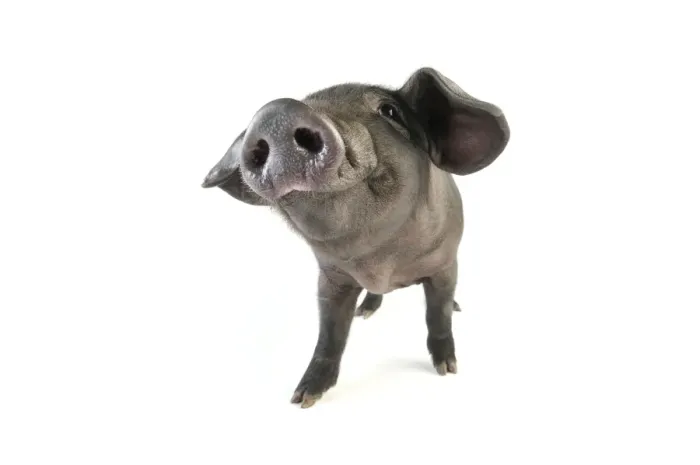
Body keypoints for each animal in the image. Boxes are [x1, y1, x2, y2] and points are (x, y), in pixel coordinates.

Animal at [202, 67, 510, 408]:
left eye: (389, 111)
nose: (276, 113)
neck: (379, 262)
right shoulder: (331, 278)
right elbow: (330, 334)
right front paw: (302, 399)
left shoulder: (443, 264)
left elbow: (437, 315)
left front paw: (447, 369)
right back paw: (365, 311)